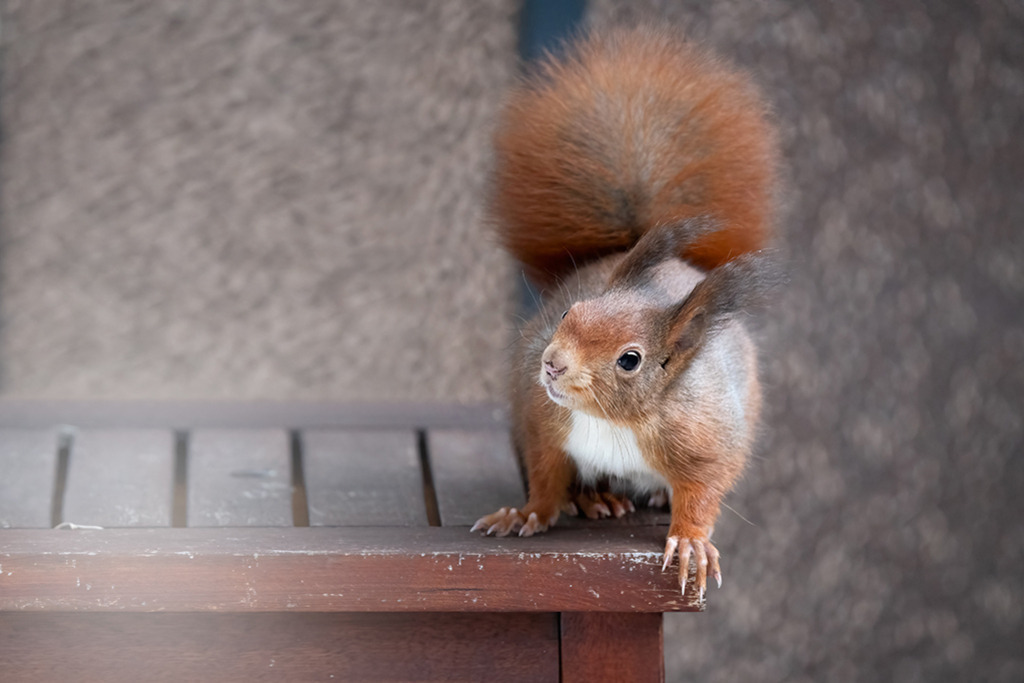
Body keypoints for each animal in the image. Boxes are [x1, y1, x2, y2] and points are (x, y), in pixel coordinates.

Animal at [471, 25, 782, 599]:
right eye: (569, 311)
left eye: (630, 359)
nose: (551, 365)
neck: (614, 419)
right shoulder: (543, 422)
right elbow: (545, 476)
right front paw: (526, 513)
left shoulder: (706, 437)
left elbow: (704, 489)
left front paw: (690, 542)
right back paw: (595, 498)